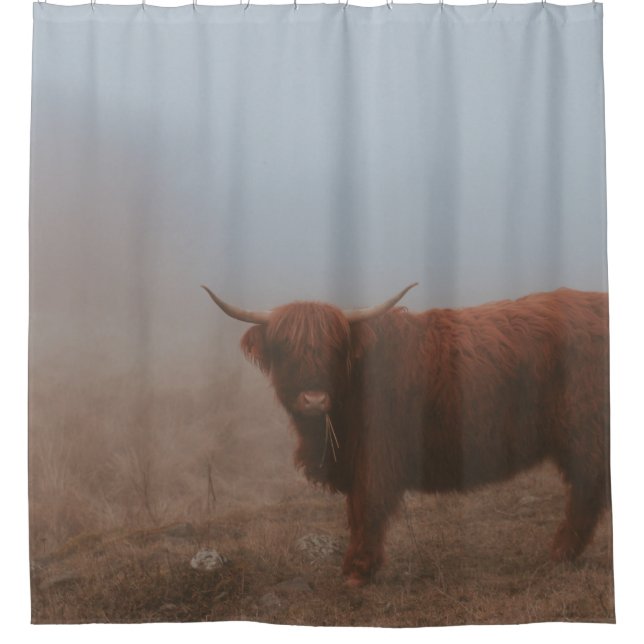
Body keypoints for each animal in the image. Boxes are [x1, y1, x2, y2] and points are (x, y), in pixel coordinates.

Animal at [202, 284, 610, 587]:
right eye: (285, 348)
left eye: (335, 349)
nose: (314, 399)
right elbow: (355, 511)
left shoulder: (377, 457)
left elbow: (367, 509)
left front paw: (358, 570)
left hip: (584, 432)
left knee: (587, 491)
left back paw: (559, 554)